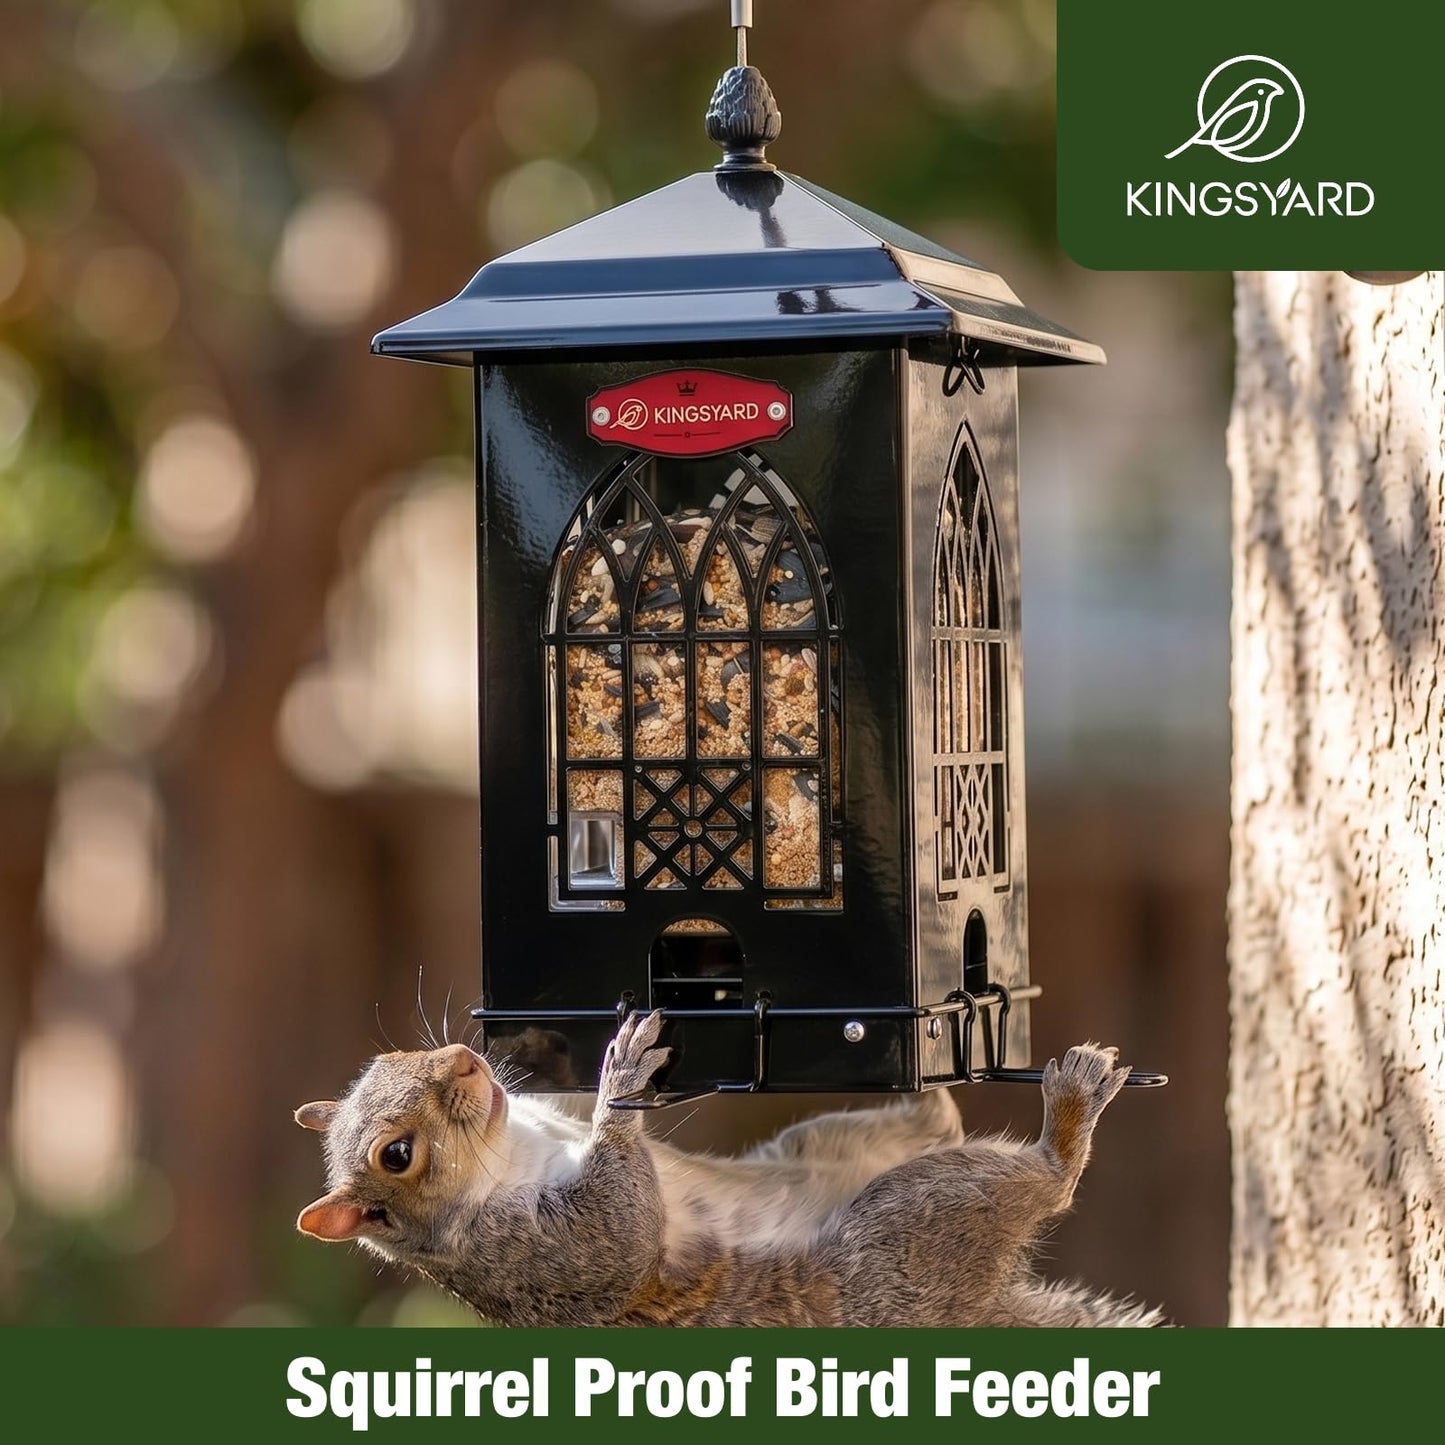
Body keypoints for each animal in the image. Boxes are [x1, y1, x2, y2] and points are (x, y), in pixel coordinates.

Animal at [295, 1012, 1162, 1327]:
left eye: (389, 1056)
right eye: (396, 1154)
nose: (466, 1058)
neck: (507, 1150)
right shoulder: (542, 1254)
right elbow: (623, 1230)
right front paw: (622, 1078)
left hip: (826, 1145)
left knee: (932, 1121)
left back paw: (928, 1073)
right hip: (904, 1230)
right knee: (1050, 1182)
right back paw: (1066, 1116)